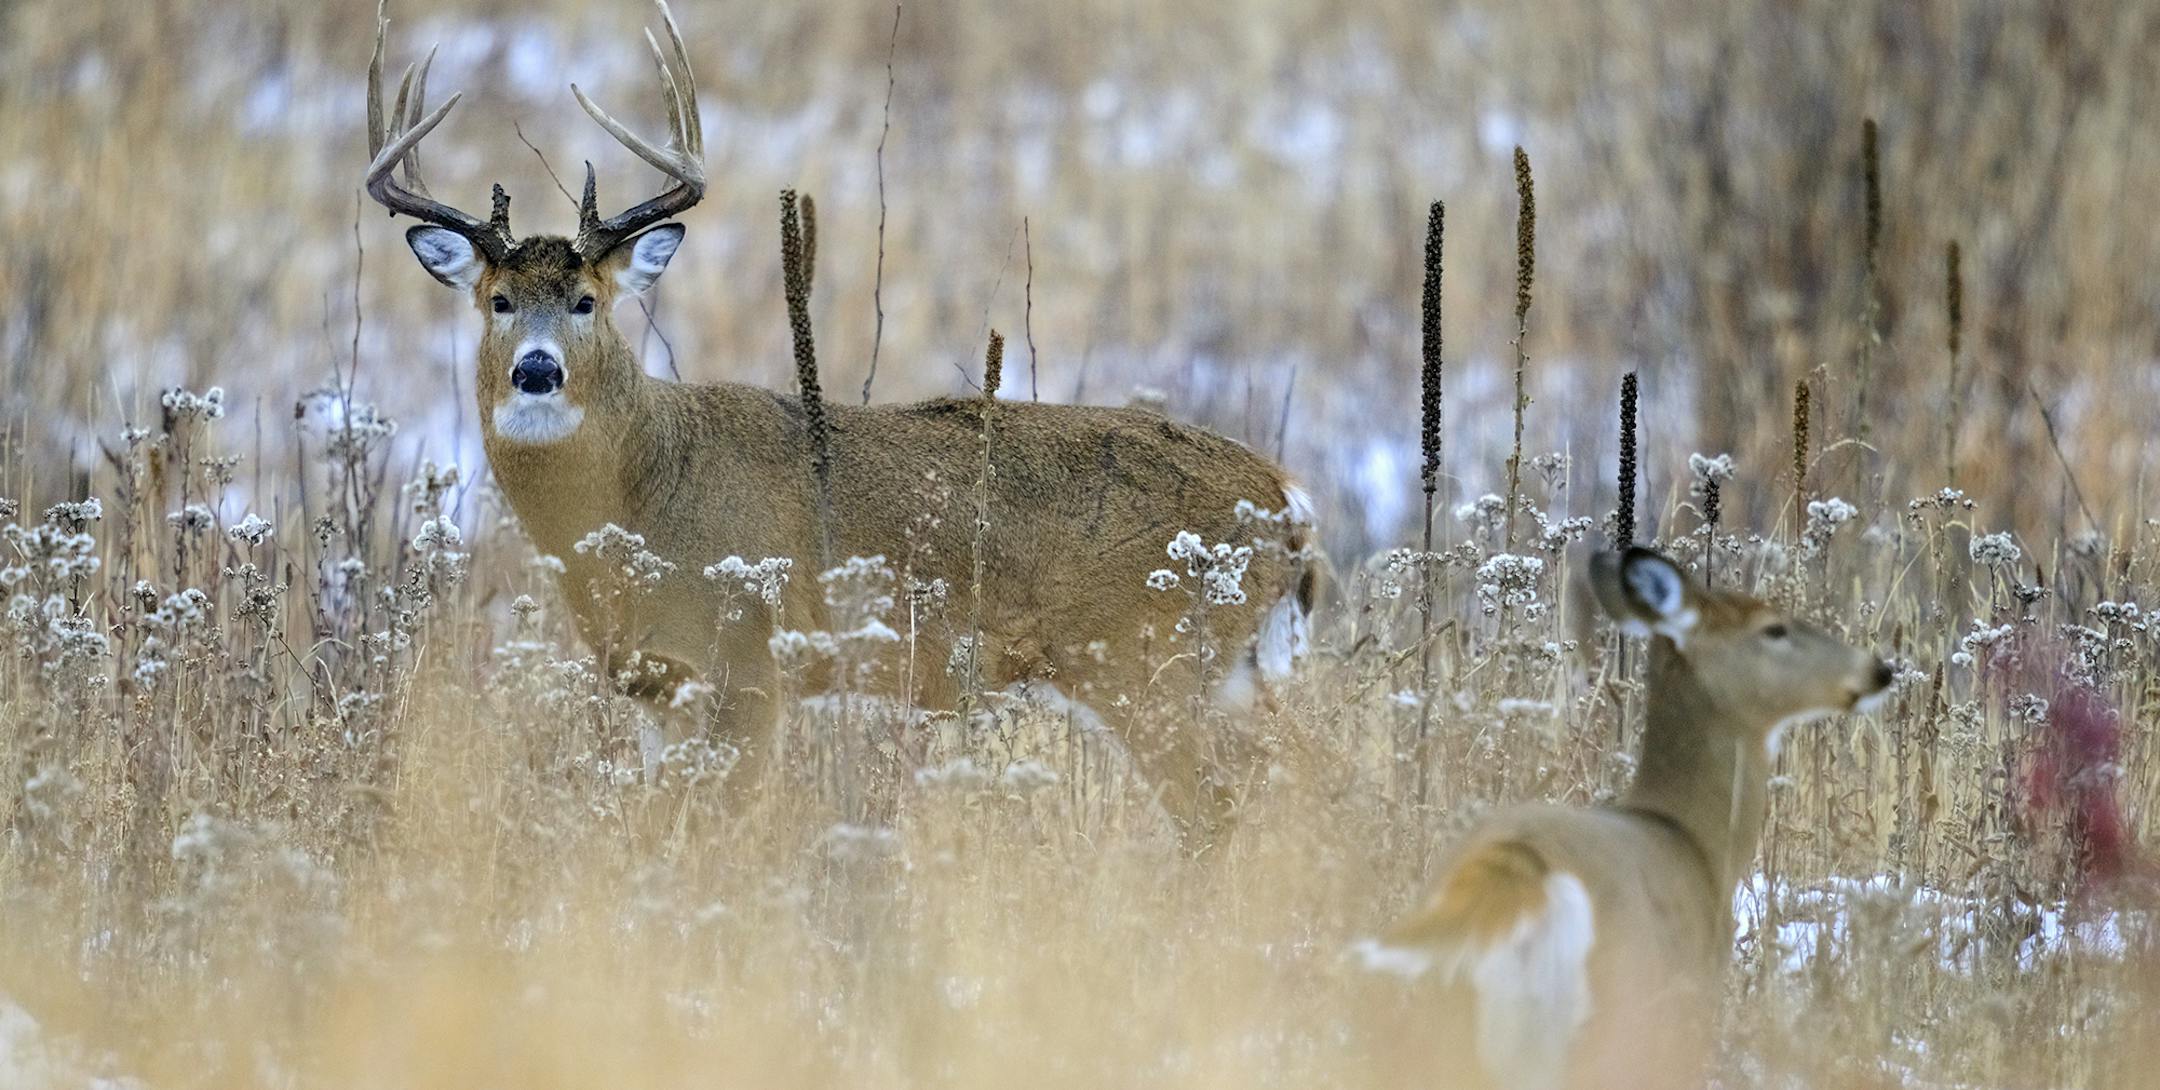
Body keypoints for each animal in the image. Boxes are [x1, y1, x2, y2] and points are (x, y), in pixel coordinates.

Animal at [361, 0, 1317, 841]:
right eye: (498, 301)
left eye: (587, 301)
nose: (536, 369)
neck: (641, 497)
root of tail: (1286, 499)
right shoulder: (654, 687)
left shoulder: (750, 665)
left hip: (1148, 661)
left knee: (1222, 808)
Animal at [1354, 547, 1894, 1090]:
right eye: (1774, 628)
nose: (1880, 669)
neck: (1696, 839)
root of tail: (1512, 877)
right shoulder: (1688, 1007)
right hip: (1604, 1016)